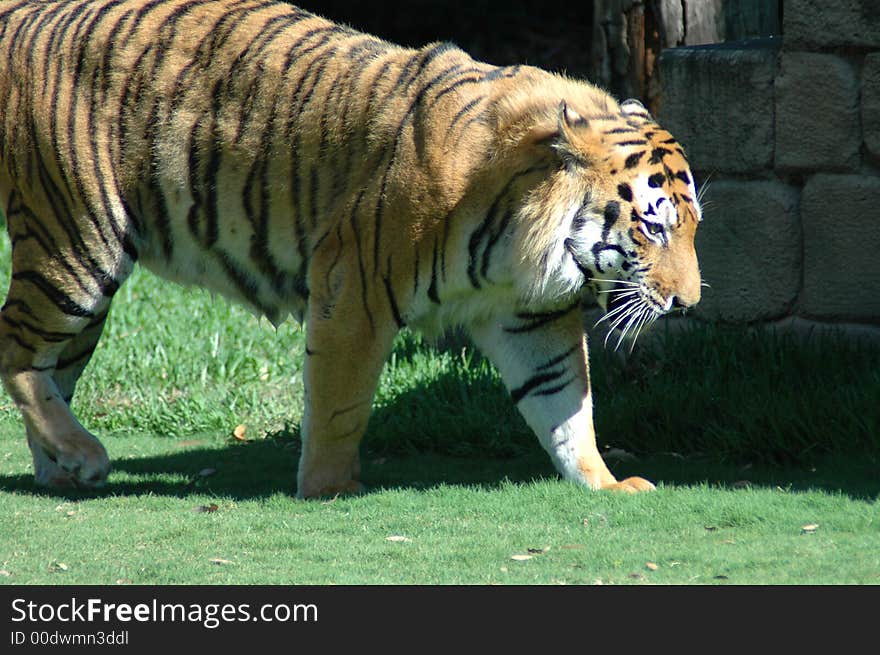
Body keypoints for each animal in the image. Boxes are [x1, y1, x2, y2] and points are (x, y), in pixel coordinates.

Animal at [0, 0, 700, 500]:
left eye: (693, 227)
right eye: (655, 228)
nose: (689, 305)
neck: (524, 240)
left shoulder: (531, 315)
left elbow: (565, 401)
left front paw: (606, 483)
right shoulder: (353, 288)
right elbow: (340, 402)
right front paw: (329, 488)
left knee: (52, 367)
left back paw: (61, 468)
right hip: (77, 241)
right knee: (15, 345)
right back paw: (84, 455)